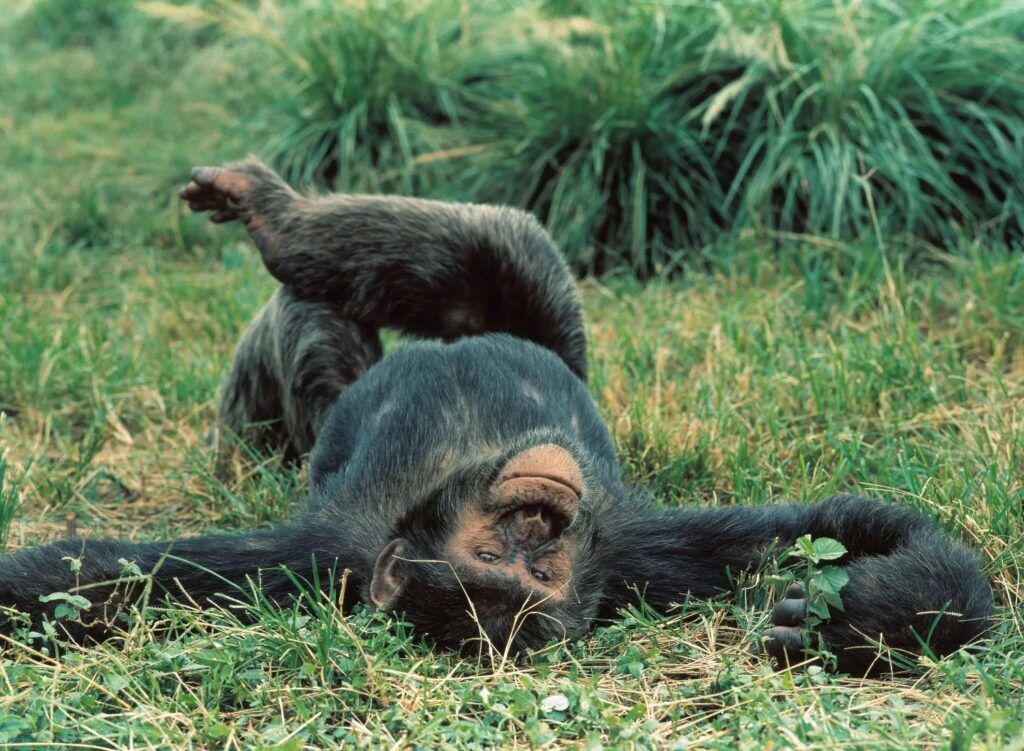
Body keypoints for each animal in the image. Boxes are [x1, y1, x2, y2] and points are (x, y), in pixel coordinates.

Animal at [0, 159, 993, 676]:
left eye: (540, 570)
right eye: (494, 552)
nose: (542, 515)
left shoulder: (648, 550)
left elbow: (841, 527)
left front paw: (850, 619)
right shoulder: (306, 556)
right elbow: (95, 579)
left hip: (534, 305)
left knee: (423, 256)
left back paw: (271, 215)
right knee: (365, 276)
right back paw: (270, 216)